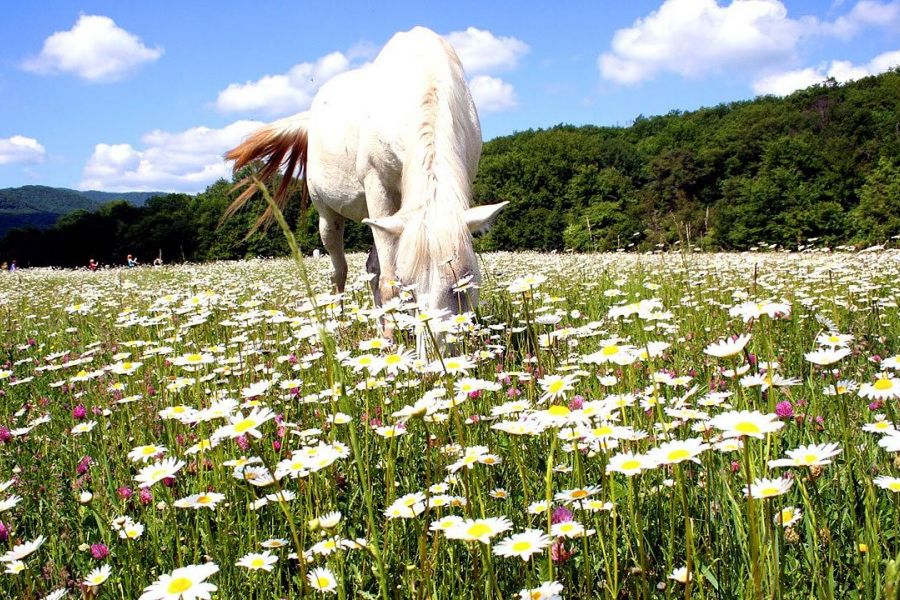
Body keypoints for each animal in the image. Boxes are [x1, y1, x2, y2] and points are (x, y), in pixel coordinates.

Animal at [225, 24, 506, 314]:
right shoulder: (378, 188)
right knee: (339, 271)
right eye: (410, 286)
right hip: (329, 215)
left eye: (465, 282)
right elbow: (389, 284)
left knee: (371, 267)